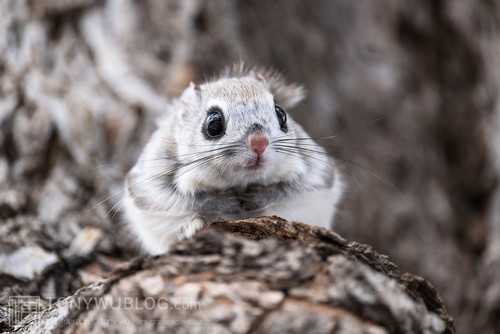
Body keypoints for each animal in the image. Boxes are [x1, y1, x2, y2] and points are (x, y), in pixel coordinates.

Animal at [124, 64, 344, 253]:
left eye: (281, 114)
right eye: (213, 122)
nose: (260, 142)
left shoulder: (317, 174)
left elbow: (289, 188)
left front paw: (256, 197)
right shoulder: (152, 182)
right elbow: (185, 198)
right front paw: (226, 202)